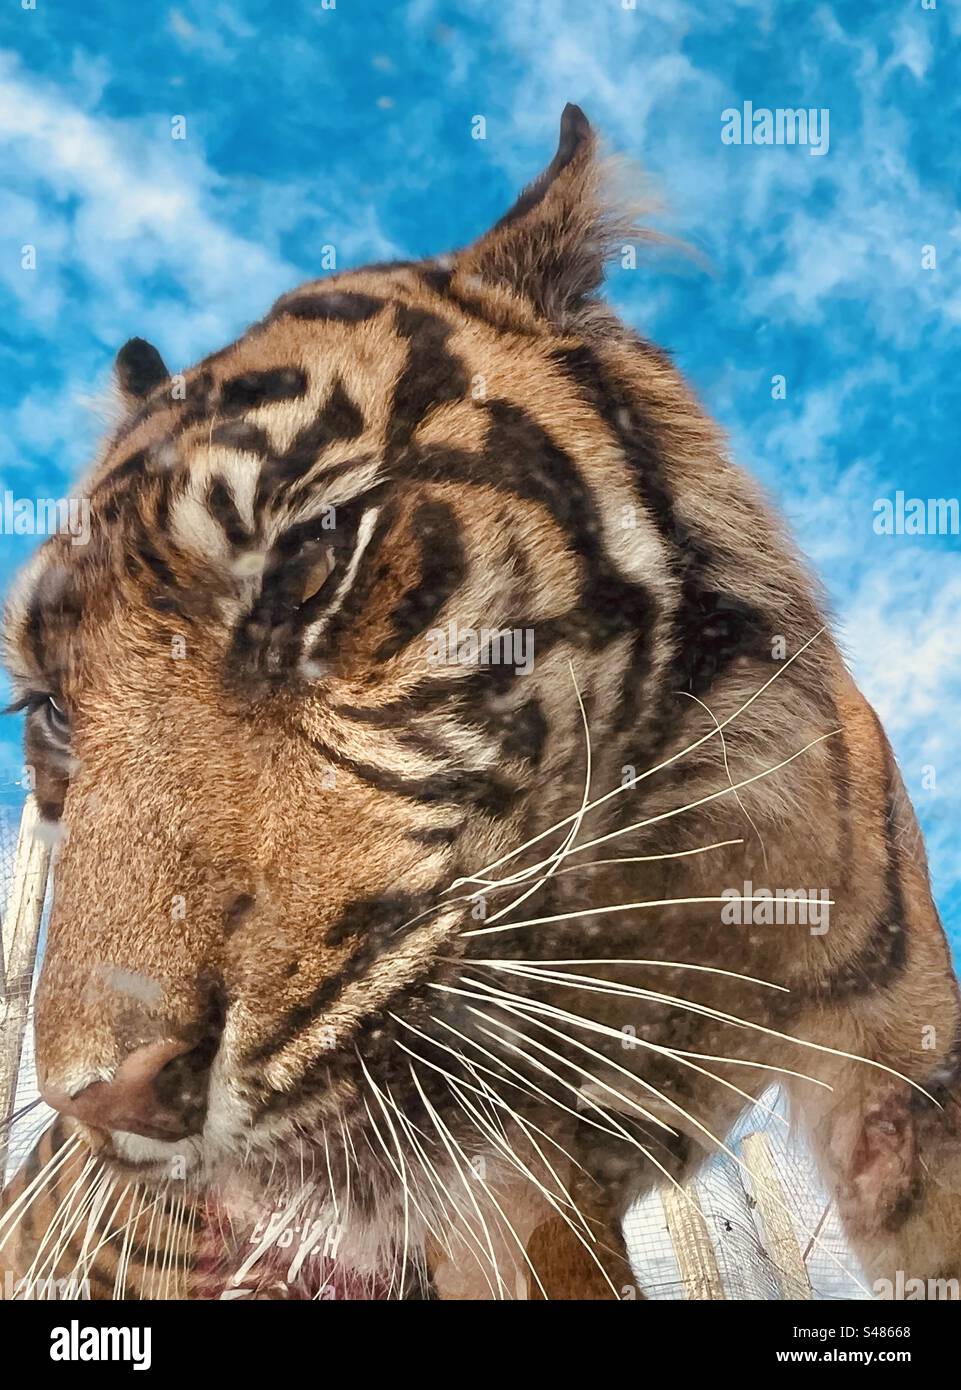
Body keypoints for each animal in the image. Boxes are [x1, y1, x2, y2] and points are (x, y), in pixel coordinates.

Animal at [1, 102, 959, 1301]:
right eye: (51, 708)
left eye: (308, 566)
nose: (106, 1103)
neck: (639, 872)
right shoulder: (503, 1166)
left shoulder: (905, 1062)